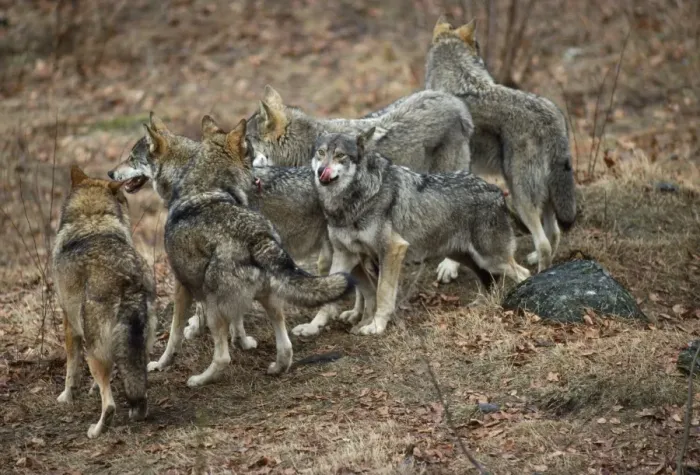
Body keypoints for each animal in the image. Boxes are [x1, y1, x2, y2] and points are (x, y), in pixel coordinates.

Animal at [53, 166, 156, 438]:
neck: (93, 219)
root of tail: (129, 281)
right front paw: (90, 390)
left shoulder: (69, 324)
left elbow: (71, 370)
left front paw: (66, 397)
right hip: (141, 347)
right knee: (138, 388)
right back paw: (136, 413)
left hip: (94, 350)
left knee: (109, 405)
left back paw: (96, 430)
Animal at [108, 113, 354, 386]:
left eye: (131, 158)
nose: (110, 172)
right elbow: (234, 318)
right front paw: (241, 340)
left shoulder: (185, 281)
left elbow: (177, 331)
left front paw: (172, 352)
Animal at [298, 128, 530, 336]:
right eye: (321, 153)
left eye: (340, 155)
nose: (321, 171)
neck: (356, 198)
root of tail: (496, 191)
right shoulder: (345, 254)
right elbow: (329, 300)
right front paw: (312, 327)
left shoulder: (393, 250)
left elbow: (383, 293)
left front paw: (376, 327)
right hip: (468, 257)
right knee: (490, 281)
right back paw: (481, 303)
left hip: (491, 258)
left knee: (523, 273)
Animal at [425, 18, 577, 273]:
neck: (457, 78)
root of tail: (552, 119)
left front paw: (449, 266)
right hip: (543, 196)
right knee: (554, 234)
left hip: (520, 196)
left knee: (544, 243)